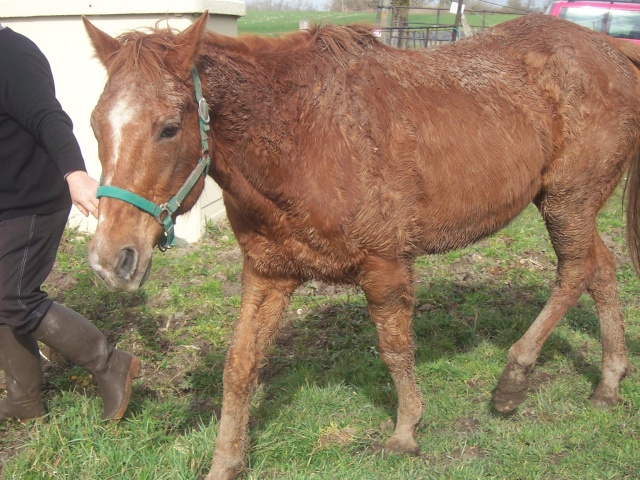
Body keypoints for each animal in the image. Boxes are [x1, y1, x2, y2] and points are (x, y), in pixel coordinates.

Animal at [84, 12, 640, 480]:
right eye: (94, 124)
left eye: (168, 128)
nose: (111, 261)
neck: (303, 134)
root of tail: (609, 49)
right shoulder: (268, 274)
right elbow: (239, 367)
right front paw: (226, 462)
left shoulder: (386, 266)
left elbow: (395, 350)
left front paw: (406, 431)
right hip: (573, 205)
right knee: (602, 268)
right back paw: (609, 381)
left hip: (568, 200)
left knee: (575, 271)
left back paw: (514, 378)